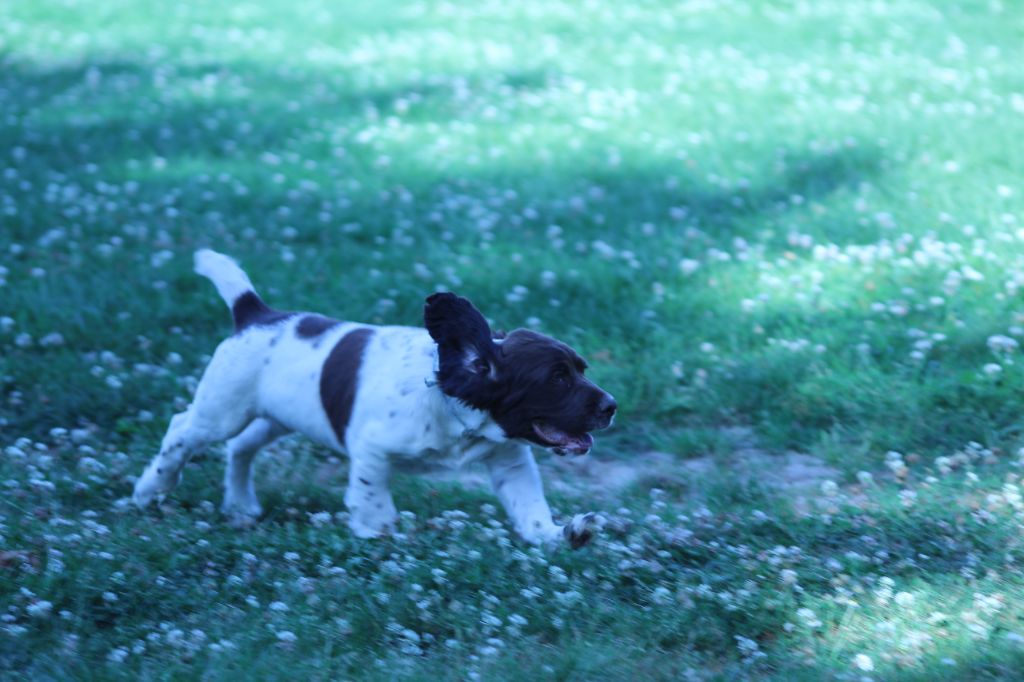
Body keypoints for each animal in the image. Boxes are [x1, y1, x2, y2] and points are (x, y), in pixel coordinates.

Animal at [134, 249, 614, 548]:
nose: (611, 407)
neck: (456, 411)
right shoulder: (371, 449)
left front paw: (561, 535)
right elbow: (373, 499)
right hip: (223, 409)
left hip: (277, 417)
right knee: (182, 430)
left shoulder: (511, 462)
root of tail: (256, 313)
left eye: (582, 370)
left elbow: (530, 509)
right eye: (557, 379)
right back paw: (150, 489)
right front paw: (377, 533)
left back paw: (239, 506)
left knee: (240, 447)